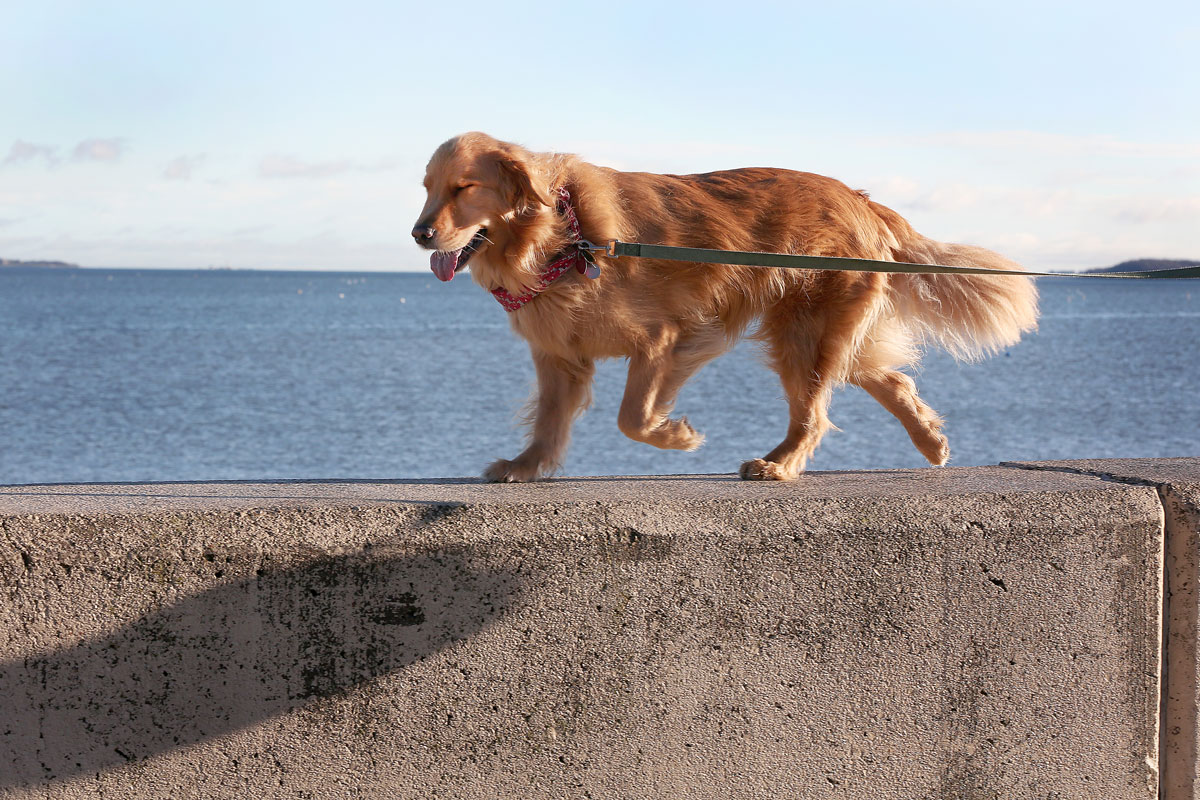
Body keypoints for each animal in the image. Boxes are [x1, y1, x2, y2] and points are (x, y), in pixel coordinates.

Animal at [412, 133, 1041, 482]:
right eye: (426, 188)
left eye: (465, 188)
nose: (419, 233)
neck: (562, 237)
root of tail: (863, 199)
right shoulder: (558, 356)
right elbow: (549, 421)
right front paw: (526, 465)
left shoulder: (665, 338)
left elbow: (631, 417)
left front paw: (676, 436)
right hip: (818, 332)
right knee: (889, 379)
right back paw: (930, 441)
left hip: (806, 333)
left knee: (813, 415)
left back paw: (780, 464)